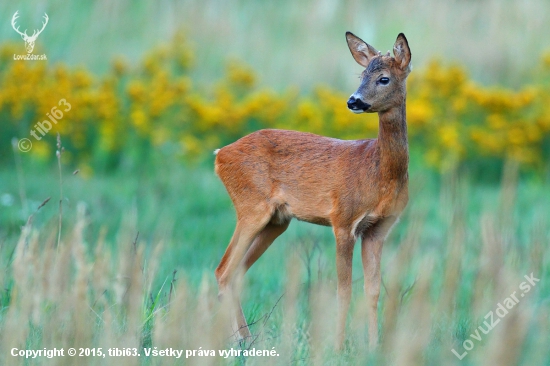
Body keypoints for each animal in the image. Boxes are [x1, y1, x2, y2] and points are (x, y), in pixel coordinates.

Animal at [213, 32, 412, 348]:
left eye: (383, 78)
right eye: (361, 75)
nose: (353, 101)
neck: (379, 172)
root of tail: (220, 155)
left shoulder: (378, 228)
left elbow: (373, 290)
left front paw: (373, 346)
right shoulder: (343, 220)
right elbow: (343, 290)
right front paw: (339, 346)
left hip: (276, 221)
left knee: (236, 272)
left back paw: (246, 339)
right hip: (251, 207)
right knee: (224, 270)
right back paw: (241, 340)